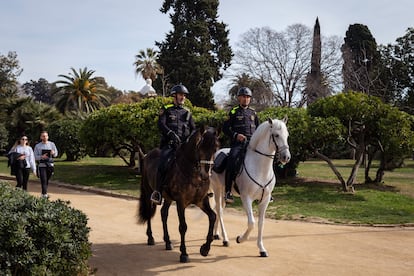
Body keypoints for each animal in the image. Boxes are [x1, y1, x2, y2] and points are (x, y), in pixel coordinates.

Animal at [137, 128, 218, 262]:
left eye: (216, 148)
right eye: (200, 147)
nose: (205, 175)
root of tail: (146, 155)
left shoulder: (201, 200)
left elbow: (212, 217)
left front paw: (205, 249)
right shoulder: (181, 202)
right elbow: (183, 226)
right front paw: (184, 253)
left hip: (168, 198)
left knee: (164, 213)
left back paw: (168, 242)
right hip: (149, 192)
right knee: (149, 213)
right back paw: (150, 238)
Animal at [210, 116, 292, 256]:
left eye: (287, 135)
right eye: (276, 135)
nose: (286, 157)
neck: (261, 168)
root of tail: (218, 153)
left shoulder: (265, 200)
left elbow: (260, 223)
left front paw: (261, 249)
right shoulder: (246, 198)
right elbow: (252, 223)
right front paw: (240, 238)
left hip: (223, 191)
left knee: (219, 209)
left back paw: (216, 234)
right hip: (217, 189)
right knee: (219, 211)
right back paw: (226, 239)